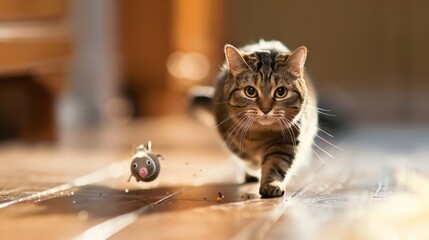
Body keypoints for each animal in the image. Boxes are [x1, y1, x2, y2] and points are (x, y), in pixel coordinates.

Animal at [189, 40, 316, 198]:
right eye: (250, 91)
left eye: (281, 92)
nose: (266, 109)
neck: (259, 135)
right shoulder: (230, 137)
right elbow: (246, 156)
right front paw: (254, 165)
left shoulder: (287, 141)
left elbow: (276, 165)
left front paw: (271, 184)